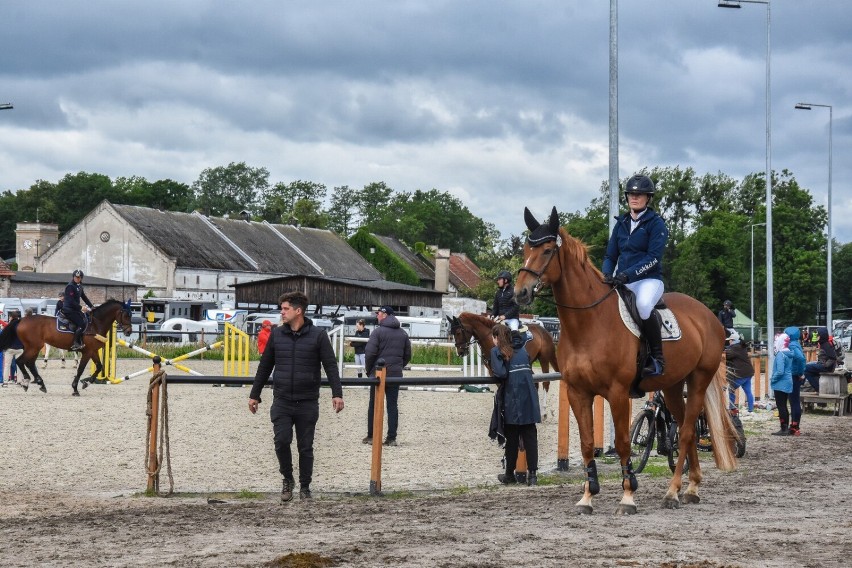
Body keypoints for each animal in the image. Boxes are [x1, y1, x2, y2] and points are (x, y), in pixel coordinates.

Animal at [0, 300, 133, 398]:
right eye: (126, 315)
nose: (129, 332)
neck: (95, 323)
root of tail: (21, 320)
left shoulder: (93, 351)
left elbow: (99, 366)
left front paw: (87, 382)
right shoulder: (87, 352)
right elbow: (80, 369)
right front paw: (75, 388)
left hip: (34, 348)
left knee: (29, 363)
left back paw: (39, 383)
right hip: (34, 347)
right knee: (21, 361)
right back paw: (28, 382)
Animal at [512, 209, 740, 516]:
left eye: (547, 250)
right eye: (526, 250)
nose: (520, 293)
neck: (589, 323)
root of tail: (709, 317)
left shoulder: (617, 393)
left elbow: (622, 443)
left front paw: (628, 496)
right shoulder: (578, 393)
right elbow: (586, 444)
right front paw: (587, 497)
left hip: (699, 380)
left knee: (686, 431)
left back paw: (673, 492)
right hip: (672, 387)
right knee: (686, 429)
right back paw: (691, 487)